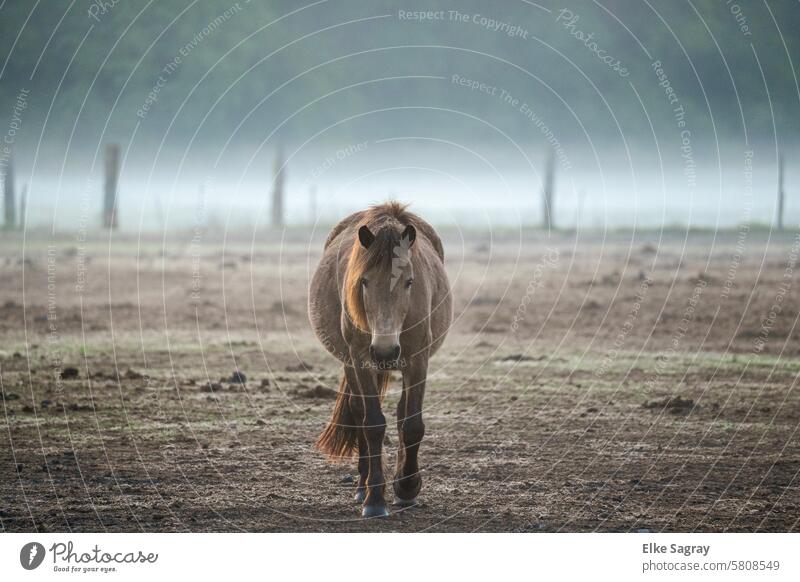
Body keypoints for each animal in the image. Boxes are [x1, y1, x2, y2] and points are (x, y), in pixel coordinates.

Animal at [310, 203, 454, 516]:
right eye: (364, 281)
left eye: (409, 282)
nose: (386, 351)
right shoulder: (361, 359)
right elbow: (372, 424)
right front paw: (374, 499)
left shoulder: (418, 360)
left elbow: (412, 424)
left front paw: (407, 488)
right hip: (351, 362)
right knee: (358, 412)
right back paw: (362, 485)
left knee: (400, 414)